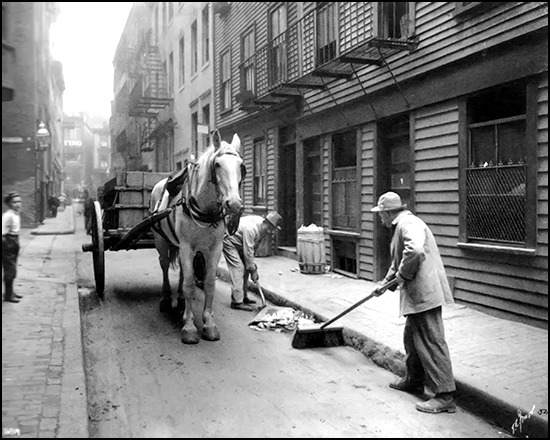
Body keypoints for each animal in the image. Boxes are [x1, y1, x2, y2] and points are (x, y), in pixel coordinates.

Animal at [151, 132, 246, 346]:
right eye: (217, 164)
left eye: (241, 165)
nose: (234, 204)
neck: (205, 209)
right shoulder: (187, 247)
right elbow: (189, 285)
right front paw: (189, 327)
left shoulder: (214, 249)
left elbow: (208, 283)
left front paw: (208, 324)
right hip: (162, 242)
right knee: (164, 265)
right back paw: (166, 298)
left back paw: (179, 300)